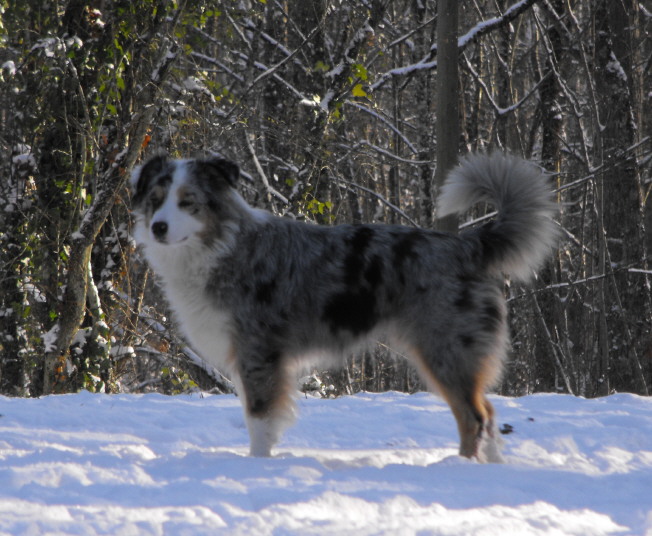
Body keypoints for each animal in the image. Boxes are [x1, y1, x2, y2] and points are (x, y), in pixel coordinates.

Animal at [131, 151, 556, 460]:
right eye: (155, 201)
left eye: (188, 203)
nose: (158, 228)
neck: (222, 248)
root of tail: (467, 244)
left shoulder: (260, 355)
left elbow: (260, 420)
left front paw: (257, 465)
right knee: (489, 414)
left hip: (446, 351)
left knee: (474, 418)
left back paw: (461, 467)